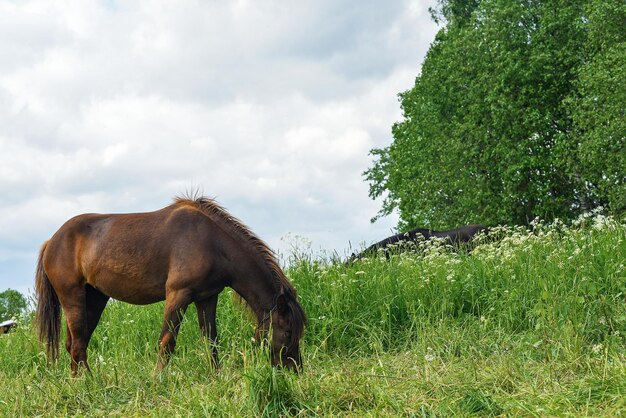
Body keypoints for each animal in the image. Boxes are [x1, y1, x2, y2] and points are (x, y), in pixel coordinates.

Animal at [35, 196, 306, 376]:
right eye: (288, 332)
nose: (296, 370)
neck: (212, 242)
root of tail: (51, 241)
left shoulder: (207, 297)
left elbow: (211, 340)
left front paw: (216, 377)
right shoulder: (178, 294)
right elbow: (167, 341)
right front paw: (158, 379)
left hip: (94, 299)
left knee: (75, 343)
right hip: (72, 297)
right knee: (78, 344)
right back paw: (89, 384)